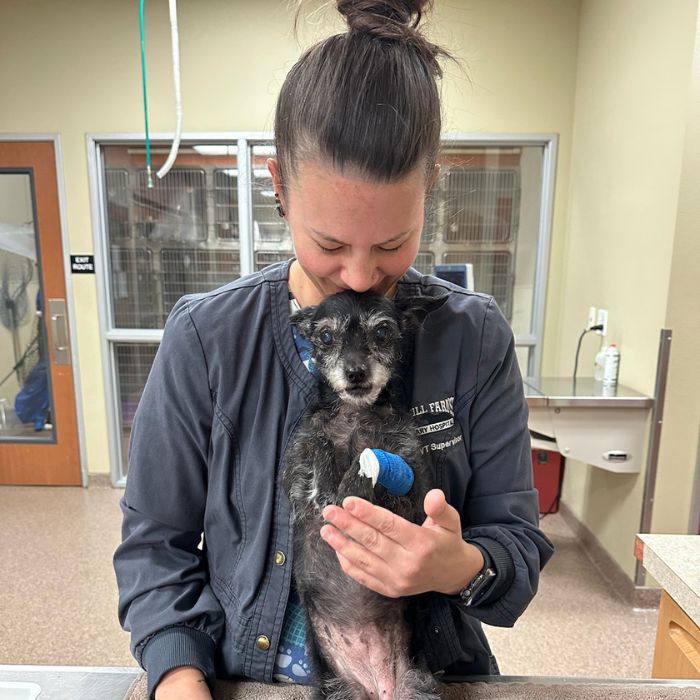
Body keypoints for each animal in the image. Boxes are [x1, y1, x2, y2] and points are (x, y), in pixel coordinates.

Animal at [282, 290, 440, 700]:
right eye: (325, 337)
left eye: (382, 332)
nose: (355, 372)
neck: (355, 415)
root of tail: (378, 686)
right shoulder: (295, 477)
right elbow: (319, 447)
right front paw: (331, 481)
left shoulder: (414, 491)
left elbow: (389, 471)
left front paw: (362, 476)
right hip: (337, 690)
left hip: (417, 686)